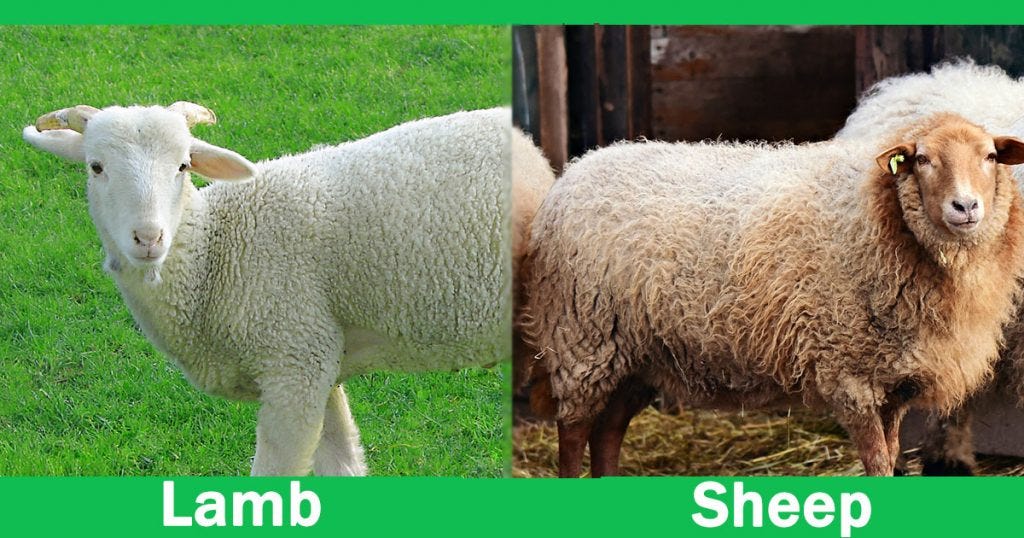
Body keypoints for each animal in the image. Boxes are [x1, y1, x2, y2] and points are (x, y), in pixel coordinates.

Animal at [22, 103, 512, 476]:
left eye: (183, 165)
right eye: (96, 167)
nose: (148, 238)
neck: (214, 252)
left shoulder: (293, 360)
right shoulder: (321, 363)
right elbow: (343, 466)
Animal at [519, 112, 1024, 477]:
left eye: (990, 157)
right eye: (921, 159)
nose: (966, 206)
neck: (876, 216)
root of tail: (577, 169)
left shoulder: (894, 379)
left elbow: (893, 450)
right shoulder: (849, 373)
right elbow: (879, 463)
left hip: (636, 352)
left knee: (608, 431)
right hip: (582, 338)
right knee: (574, 431)